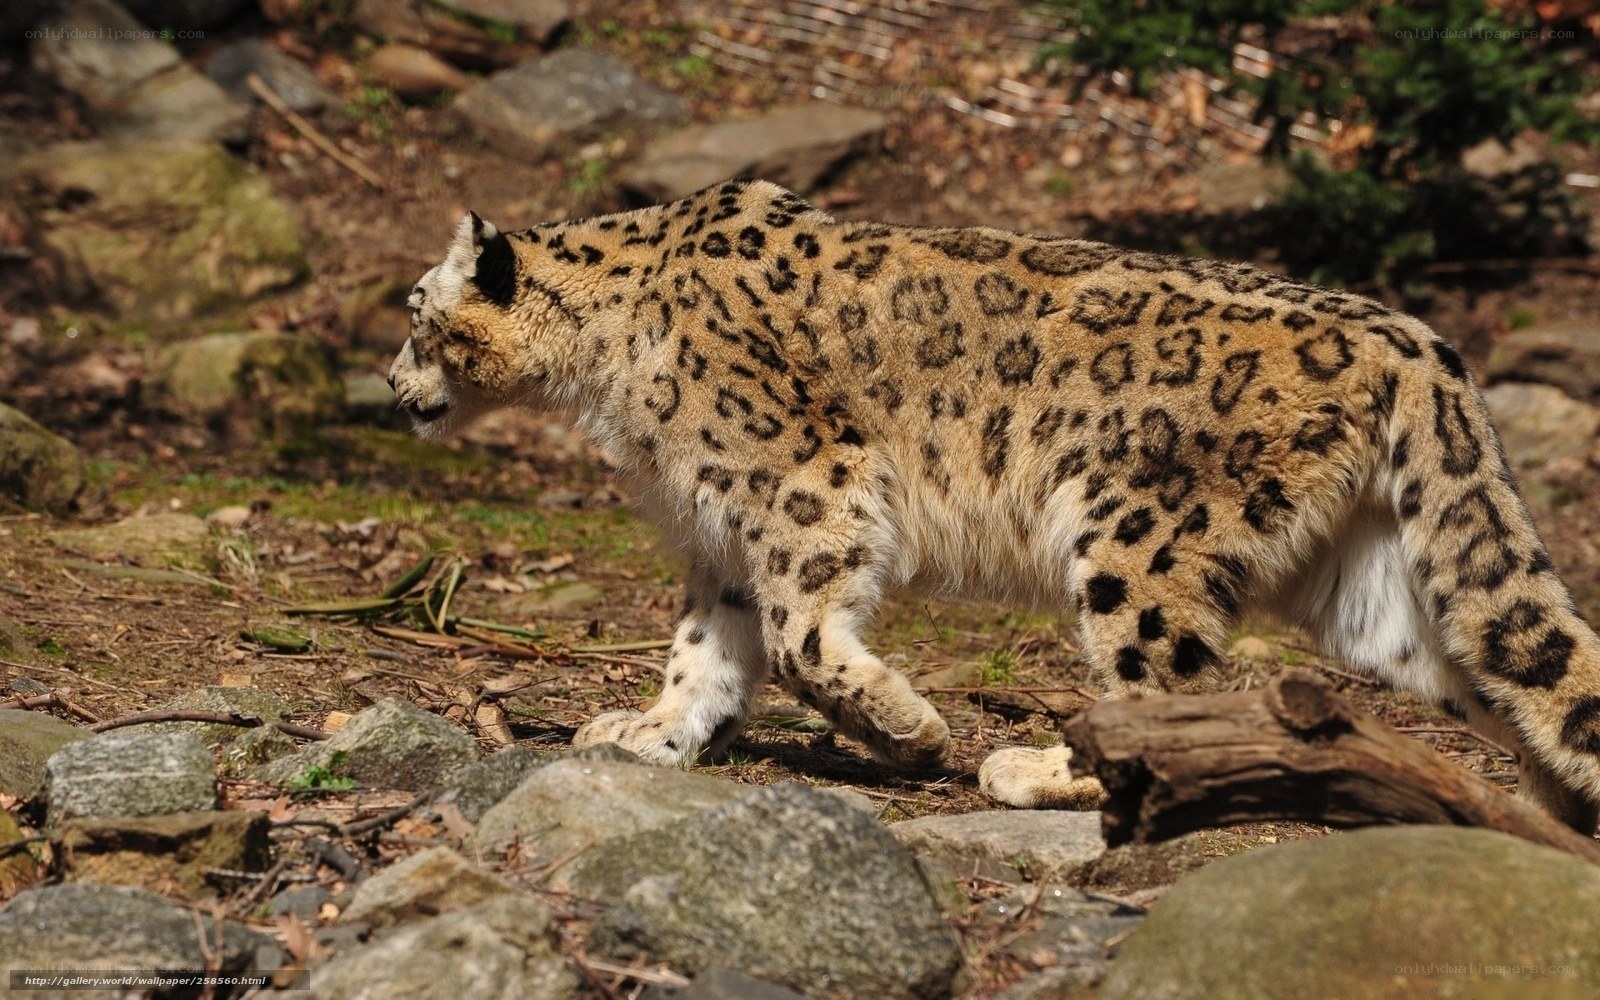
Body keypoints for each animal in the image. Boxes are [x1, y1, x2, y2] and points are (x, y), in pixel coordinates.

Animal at [388, 178, 1600, 832]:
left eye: (413, 313)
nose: (393, 388)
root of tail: (1411, 336)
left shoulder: (801, 484)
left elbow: (797, 636)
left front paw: (907, 729)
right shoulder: (720, 529)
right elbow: (709, 645)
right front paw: (652, 732)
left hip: (1140, 538)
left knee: (1155, 682)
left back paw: (1034, 767)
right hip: (1374, 589)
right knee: (1509, 669)